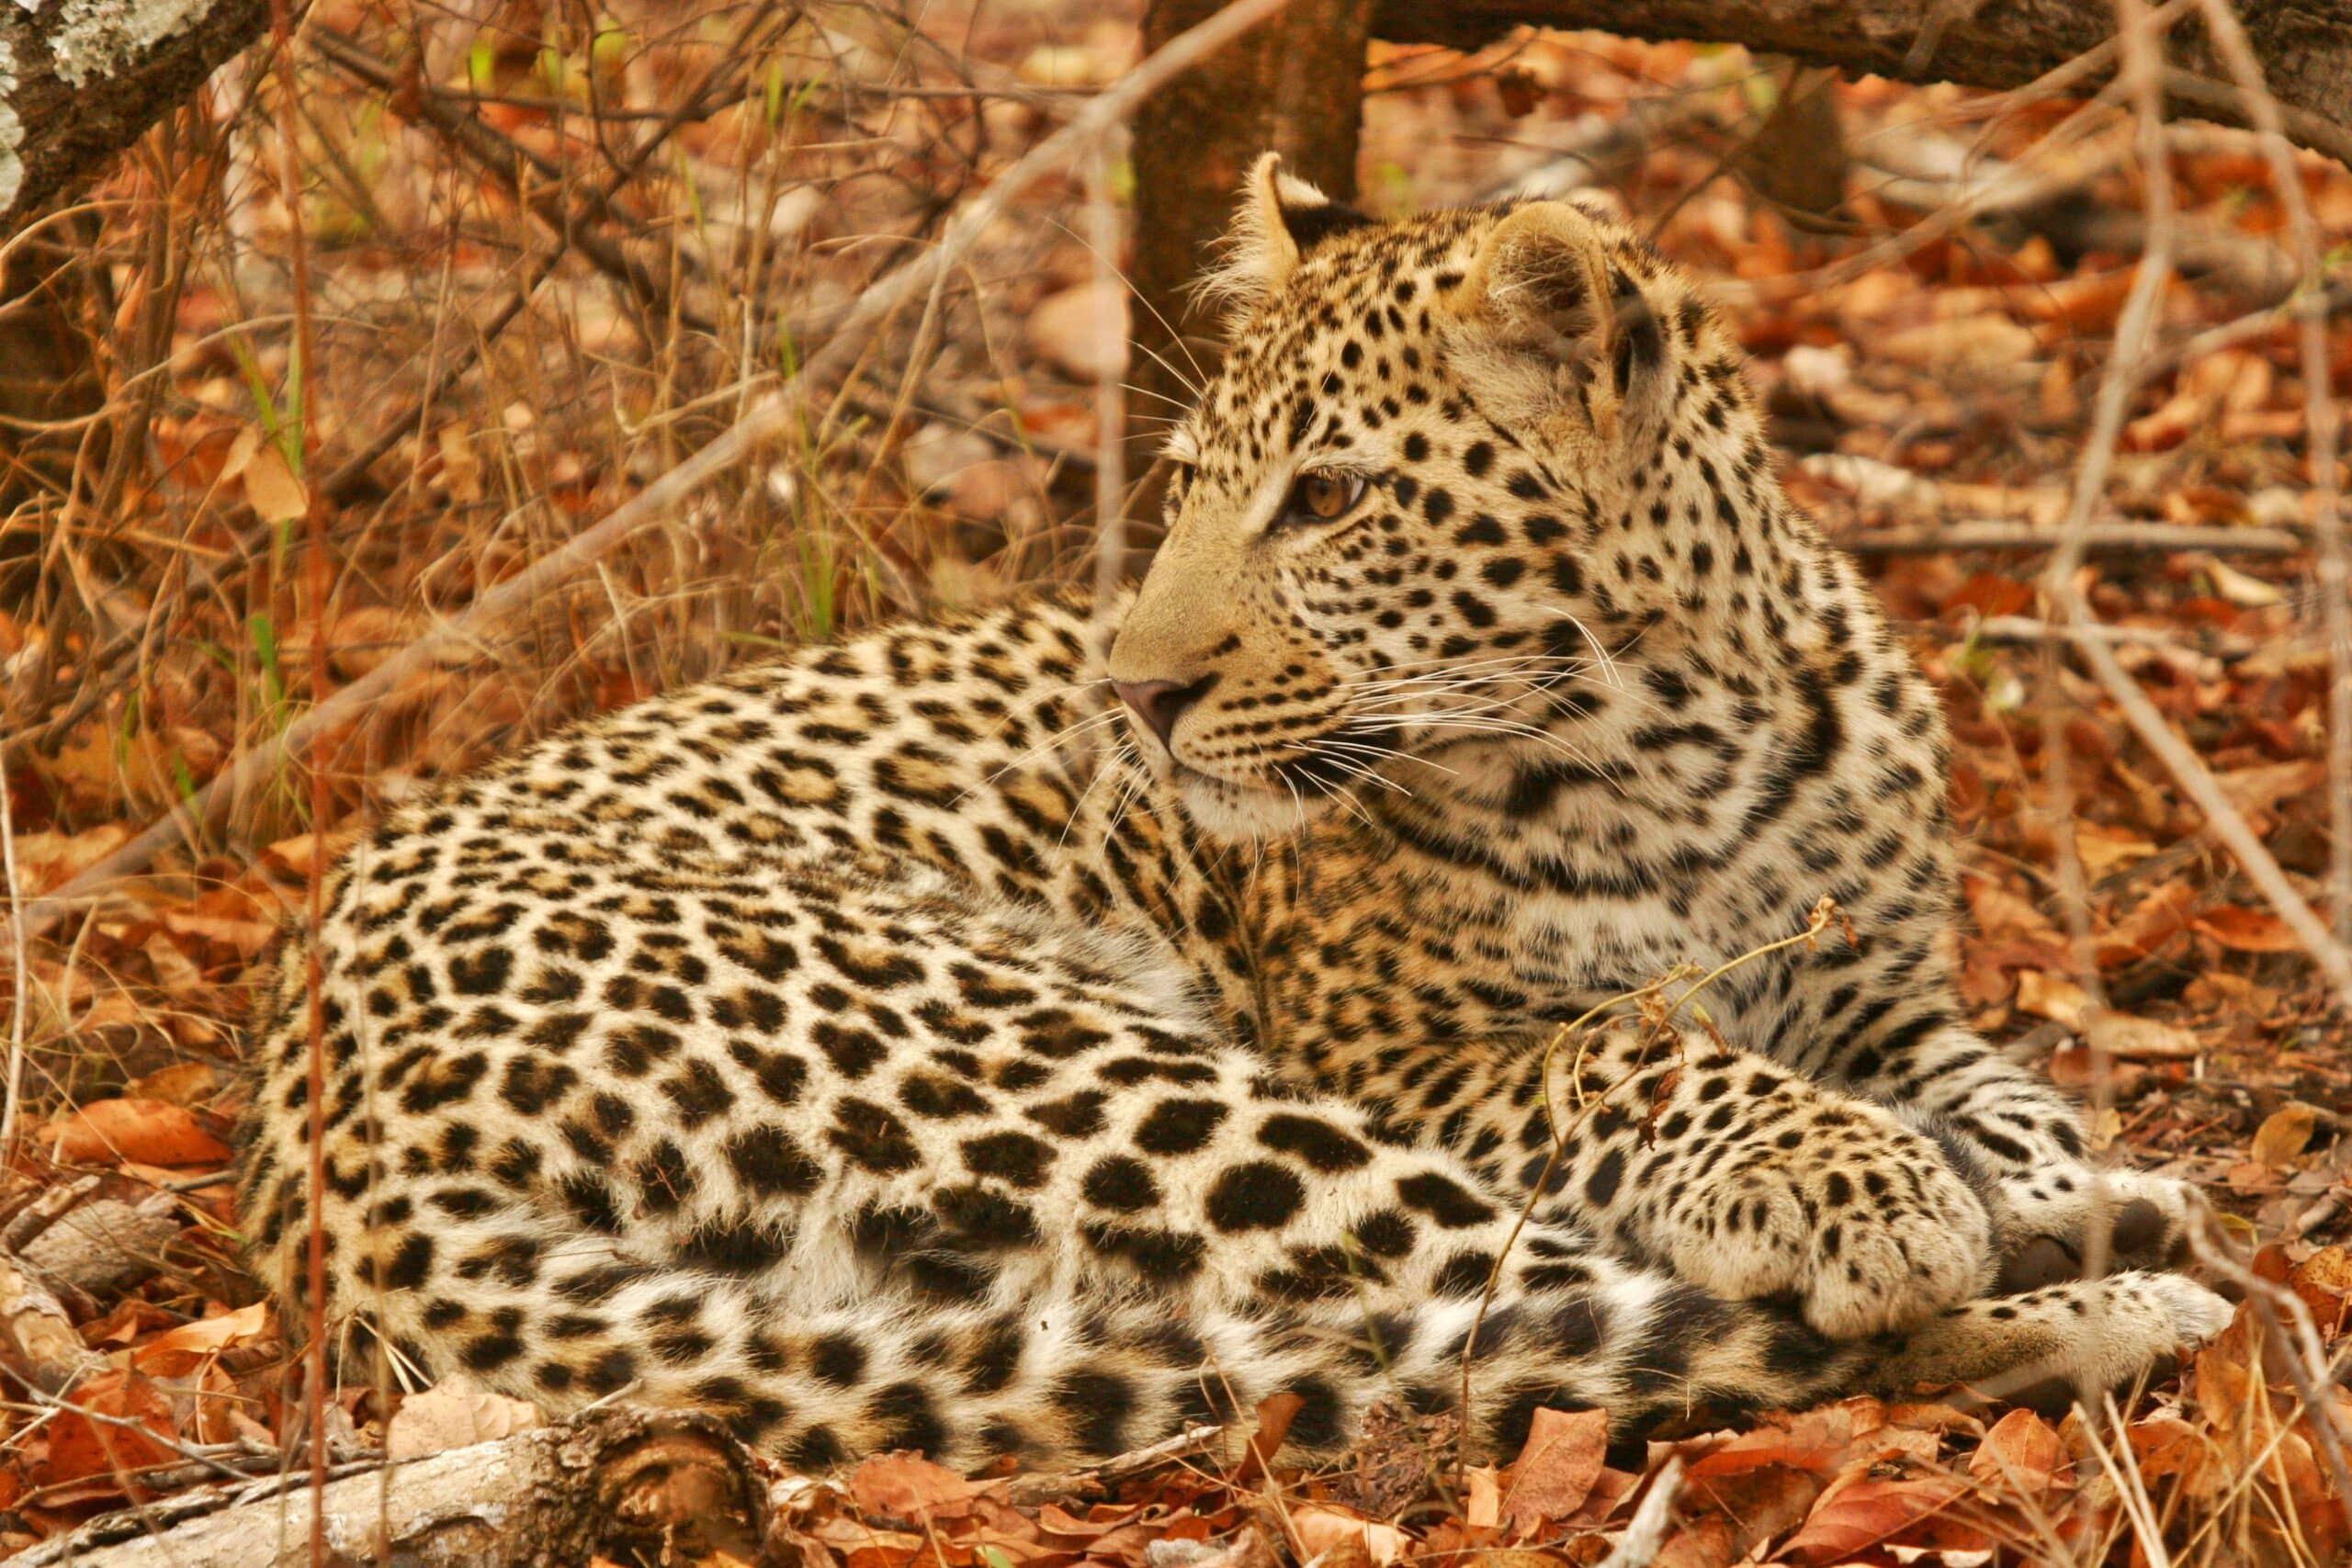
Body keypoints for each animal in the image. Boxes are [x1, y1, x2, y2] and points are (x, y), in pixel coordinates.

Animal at [235, 155, 2232, 1472]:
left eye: (1329, 498)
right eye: (1195, 484)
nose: (1134, 692)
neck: (1689, 740)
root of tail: (311, 1143)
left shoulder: (1876, 987)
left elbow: (1999, 1078)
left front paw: (2033, 1163)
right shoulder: (1415, 1040)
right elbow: (1646, 1052)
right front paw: (1875, 1186)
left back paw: (2094, 1231)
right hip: (1074, 1063)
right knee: (1508, 1306)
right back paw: (2100, 1295)